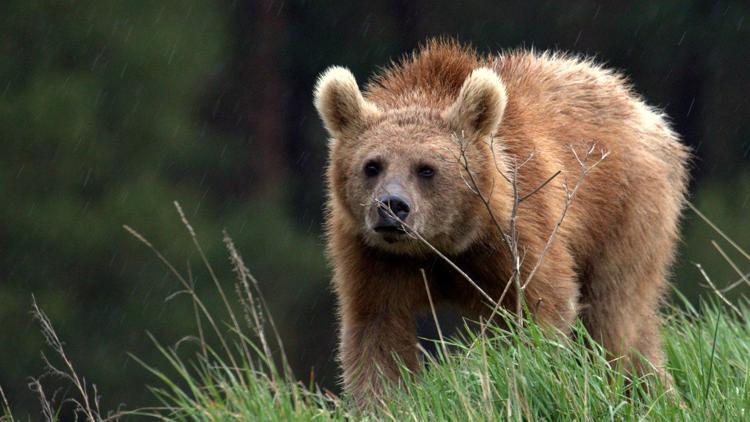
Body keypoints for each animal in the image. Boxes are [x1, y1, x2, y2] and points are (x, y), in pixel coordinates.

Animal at [312, 38, 692, 402]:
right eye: (372, 165)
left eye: (426, 169)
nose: (392, 206)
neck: (442, 245)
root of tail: (645, 110)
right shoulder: (373, 257)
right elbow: (377, 335)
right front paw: (383, 401)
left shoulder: (514, 232)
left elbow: (541, 307)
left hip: (626, 212)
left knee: (611, 314)